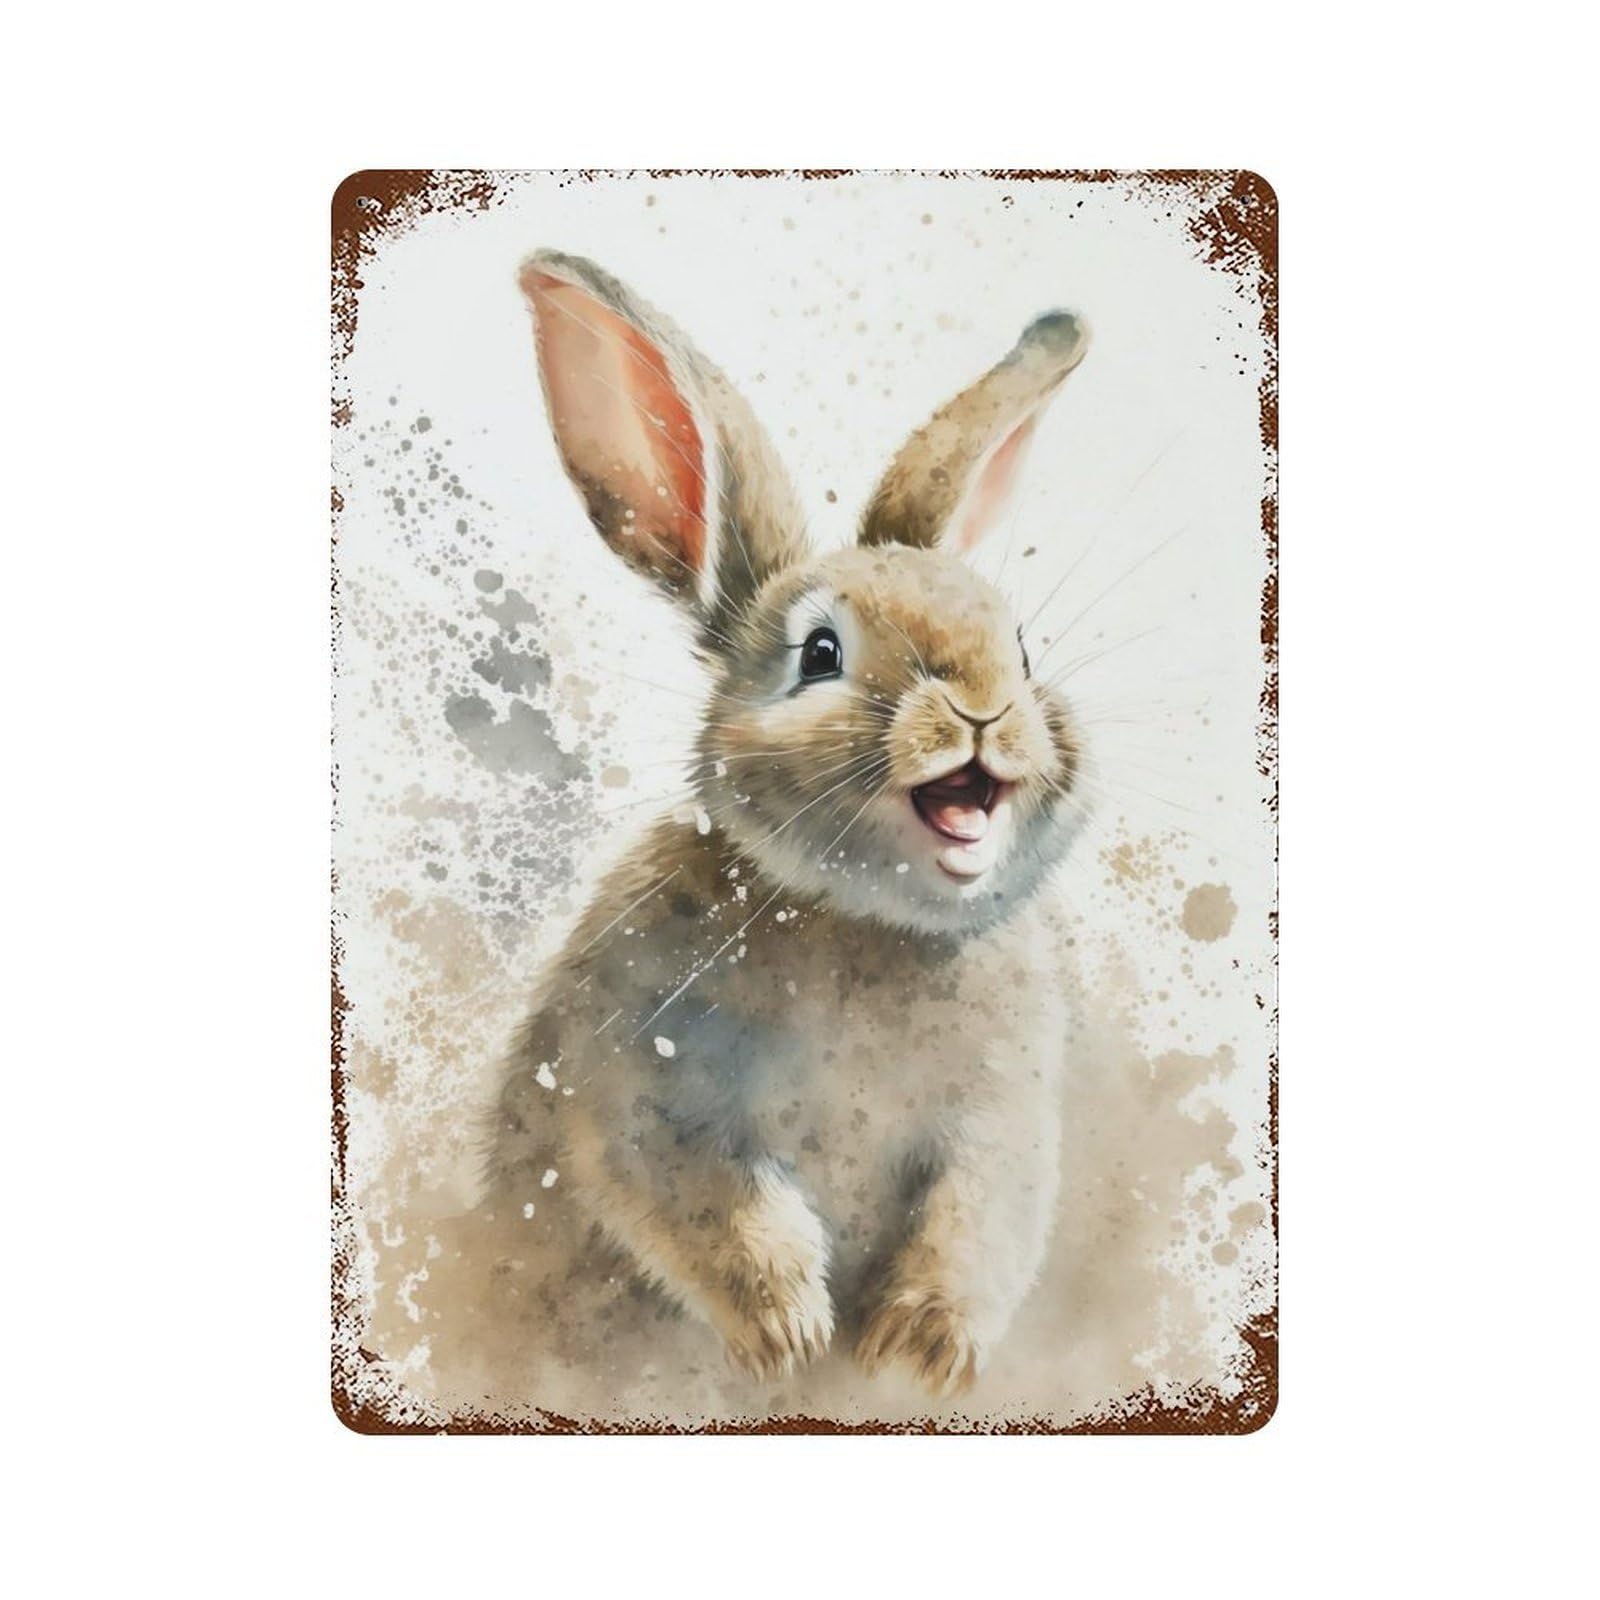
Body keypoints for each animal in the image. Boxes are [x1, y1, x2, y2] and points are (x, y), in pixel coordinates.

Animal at [487, 250, 1091, 1401]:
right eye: (820, 654)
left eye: (1024, 649)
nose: (984, 709)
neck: (863, 921)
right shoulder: (633, 1080)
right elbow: (709, 1205)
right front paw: (790, 1334)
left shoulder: (1001, 1124)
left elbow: (978, 1223)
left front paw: (916, 1351)